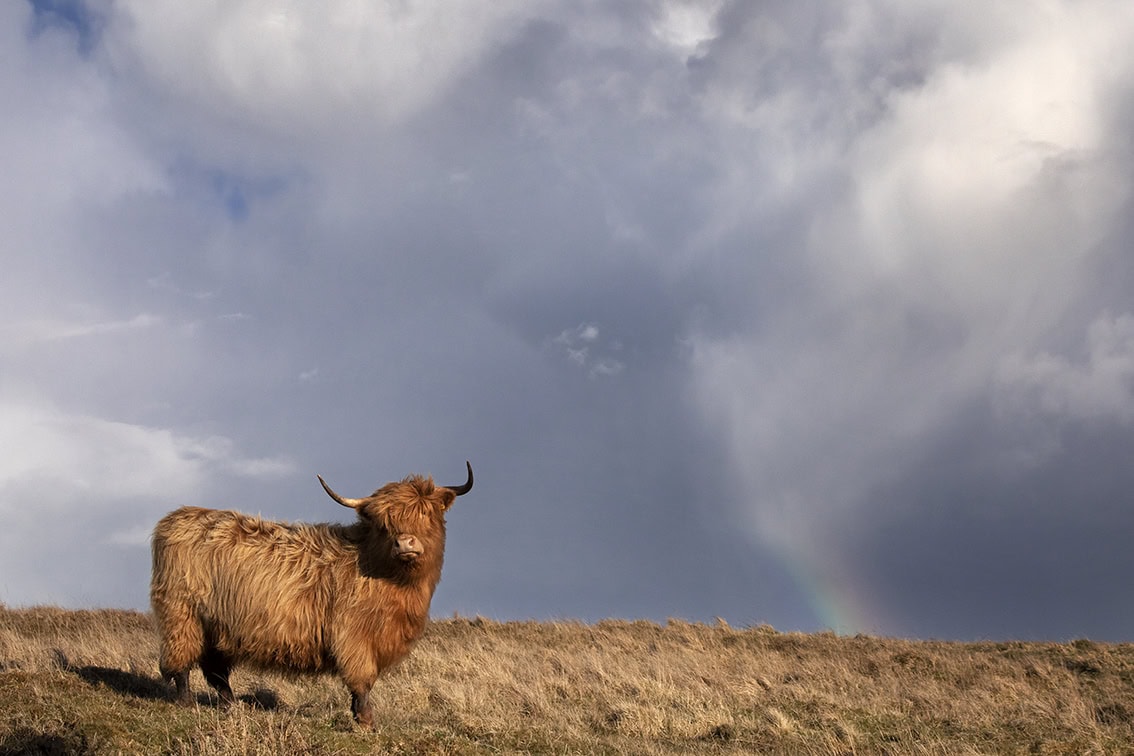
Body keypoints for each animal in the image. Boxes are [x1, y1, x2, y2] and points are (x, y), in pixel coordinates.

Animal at [148, 462, 471, 725]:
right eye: (384, 523)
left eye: (426, 514)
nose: (404, 543)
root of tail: (178, 516)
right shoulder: (354, 637)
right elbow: (362, 679)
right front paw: (366, 720)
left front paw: (358, 715)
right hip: (182, 613)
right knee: (181, 660)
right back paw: (187, 702)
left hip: (216, 625)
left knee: (215, 669)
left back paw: (231, 704)